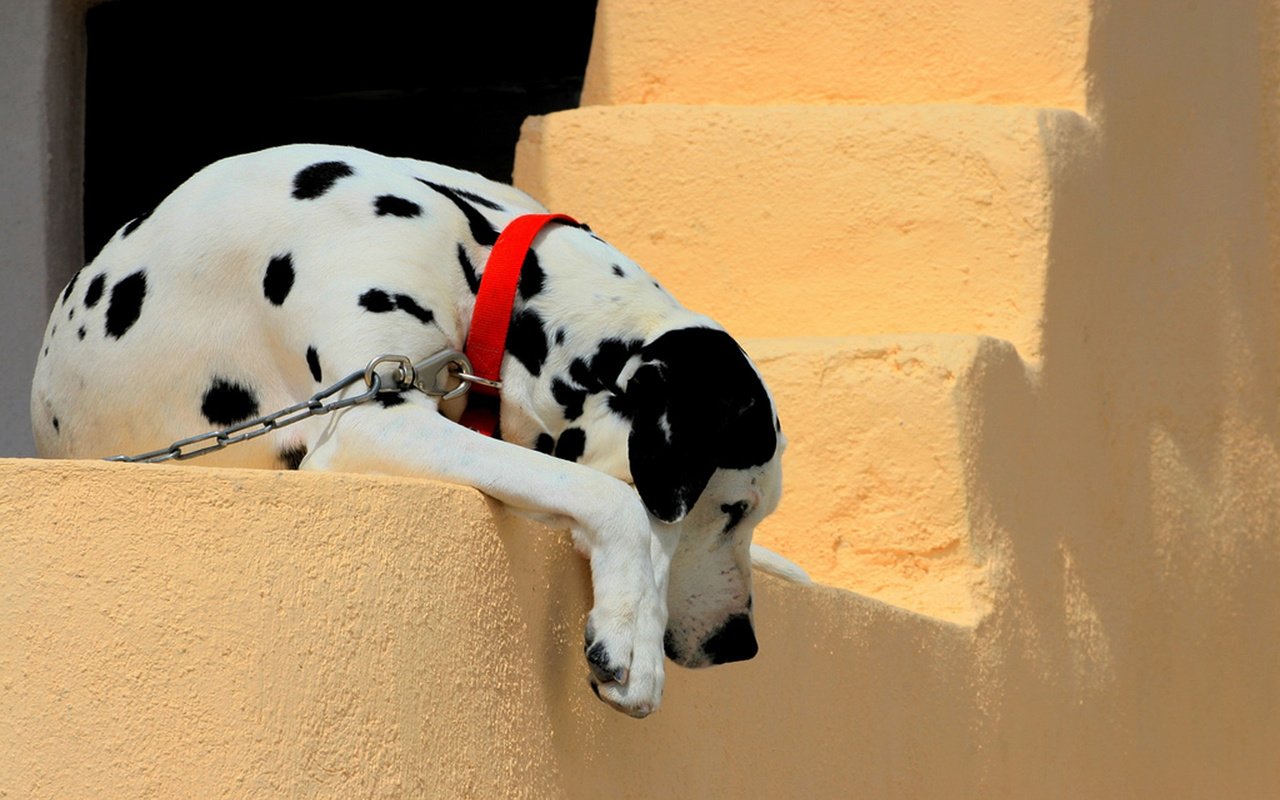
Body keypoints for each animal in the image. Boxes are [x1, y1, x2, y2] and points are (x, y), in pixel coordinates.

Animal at [30, 143, 798, 716]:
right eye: (732, 508)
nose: (743, 644)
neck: (474, 256)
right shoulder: (369, 420)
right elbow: (613, 499)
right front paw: (631, 635)